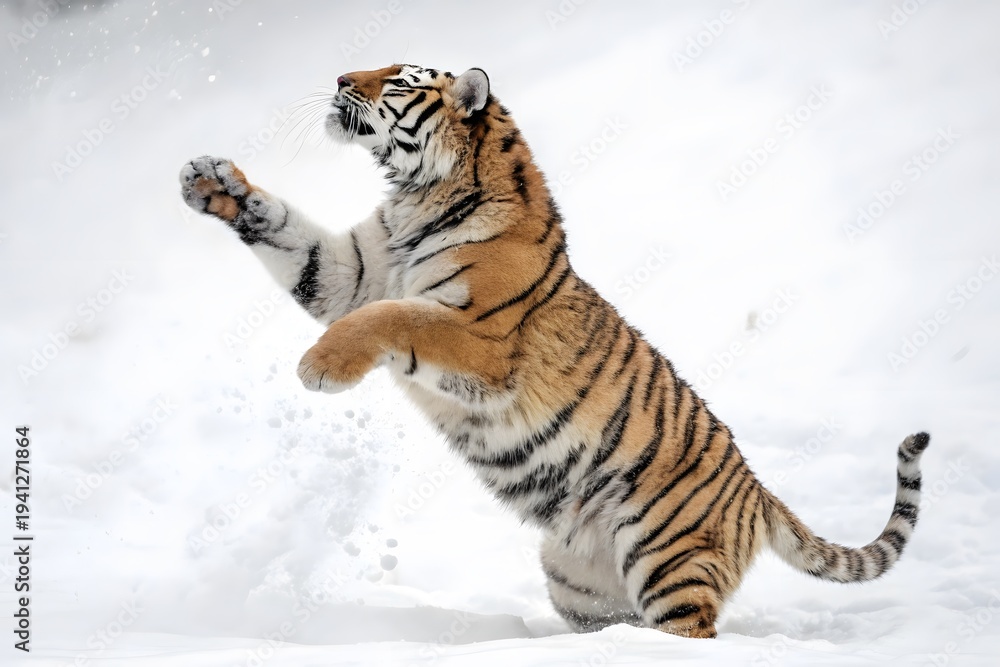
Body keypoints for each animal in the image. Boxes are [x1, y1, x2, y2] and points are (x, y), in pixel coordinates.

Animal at [178, 64, 930, 639]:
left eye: (396, 78)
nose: (338, 79)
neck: (418, 199)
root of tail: (760, 493)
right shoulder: (351, 272)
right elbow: (289, 234)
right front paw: (212, 180)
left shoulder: (478, 338)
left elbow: (394, 317)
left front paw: (319, 368)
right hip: (580, 579)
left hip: (669, 559)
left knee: (693, 633)